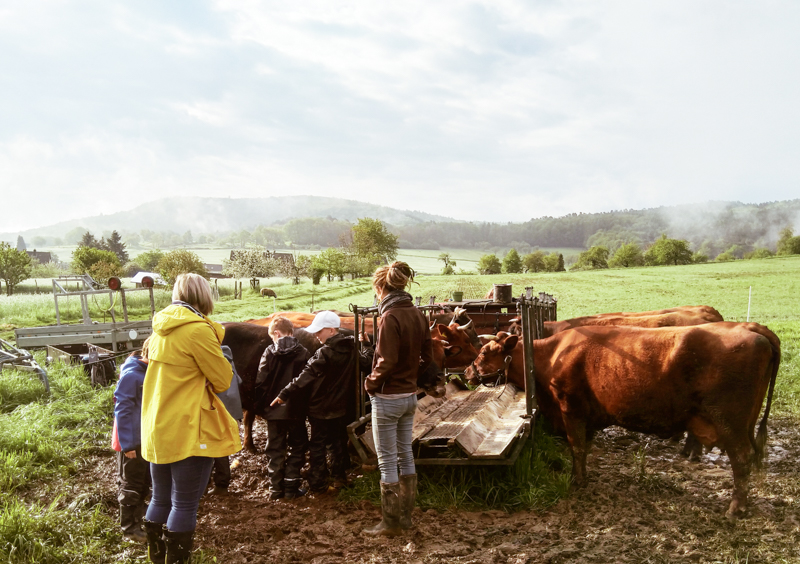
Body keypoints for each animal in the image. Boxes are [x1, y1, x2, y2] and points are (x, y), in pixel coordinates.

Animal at [466, 324, 780, 516]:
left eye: (484, 352)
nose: (468, 371)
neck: (551, 355)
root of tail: (751, 328)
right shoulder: (587, 414)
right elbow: (584, 448)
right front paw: (583, 476)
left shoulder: (571, 408)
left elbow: (576, 446)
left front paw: (577, 481)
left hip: (730, 423)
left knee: (741, 460)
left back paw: (735, 508)